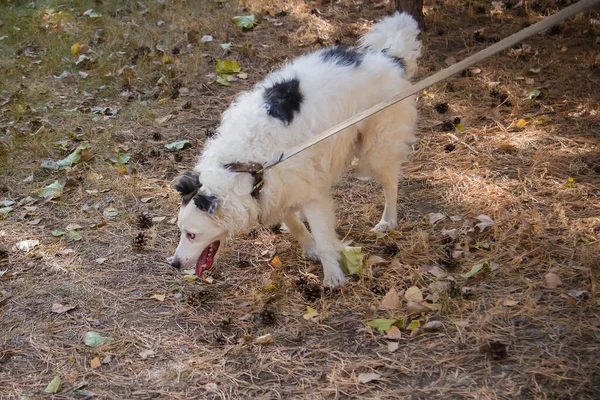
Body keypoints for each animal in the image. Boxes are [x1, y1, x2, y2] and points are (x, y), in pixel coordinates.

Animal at [171, 12, 420, 288]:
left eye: (192, 235)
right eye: (181, 231)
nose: (174, 263)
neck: (245, 165)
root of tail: (390, 58)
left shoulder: (309, 192)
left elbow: (323, 236)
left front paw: (332, 276)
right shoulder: (275, 189)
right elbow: (293, 221)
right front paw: (309, 246)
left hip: (377, 147)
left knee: (391, 185)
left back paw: (388, 221)